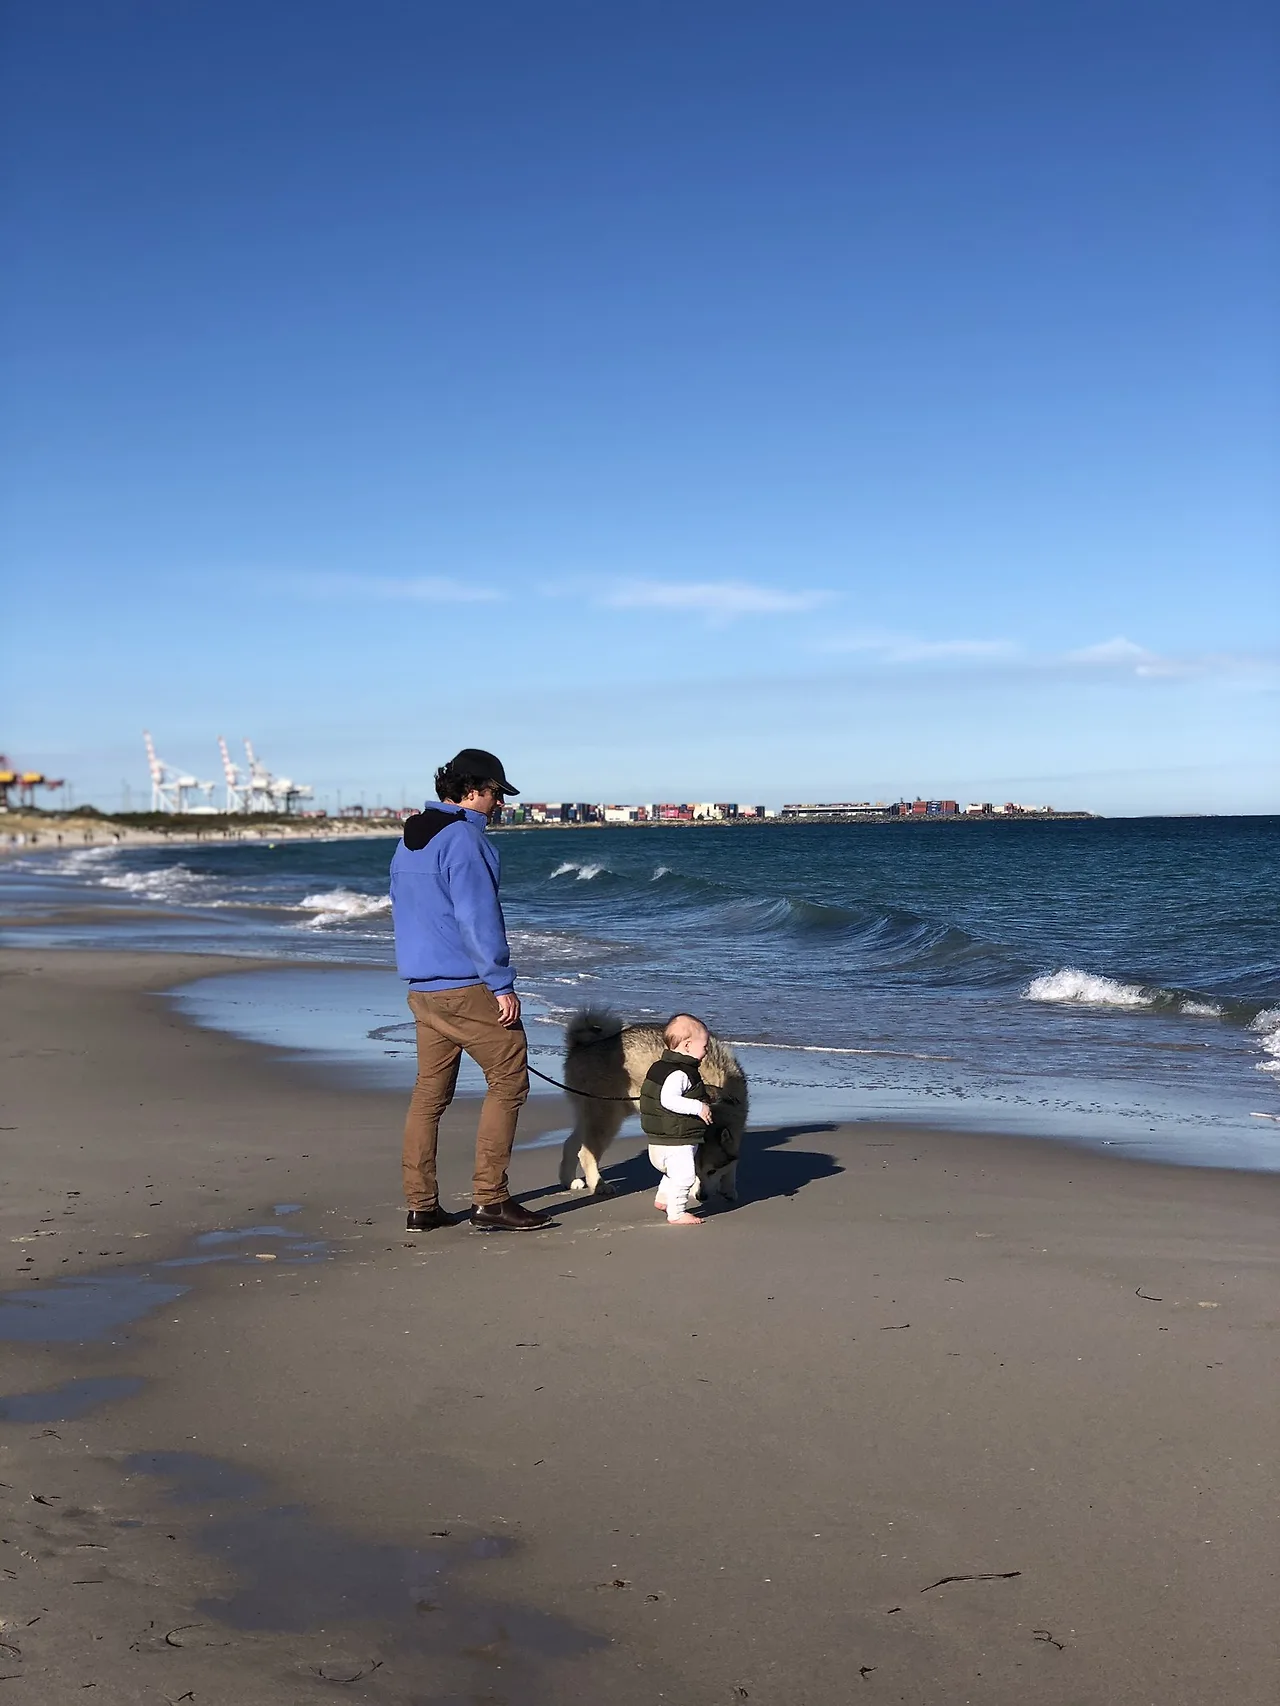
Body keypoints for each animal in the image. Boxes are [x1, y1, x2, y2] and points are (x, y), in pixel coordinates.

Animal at [558, 1007, 748, 1205]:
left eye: (712, 1171)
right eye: (694, 1170)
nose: (700, 1196)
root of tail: (581, 1046)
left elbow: (733, 1161)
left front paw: (729, 1188)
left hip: (596, 1115)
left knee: (572, 1143)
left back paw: (569, 1180)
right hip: (607, 1118)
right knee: (586, 1153)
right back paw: (599, 1185)